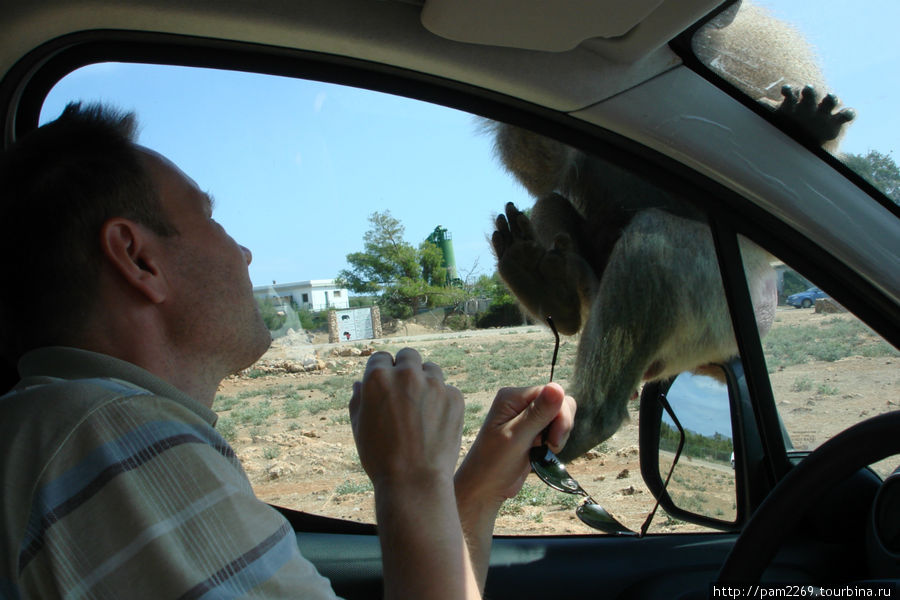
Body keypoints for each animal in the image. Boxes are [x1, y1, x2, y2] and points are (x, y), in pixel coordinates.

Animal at [488, 0, 856, 462]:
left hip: (723, 318)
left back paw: (588, 419)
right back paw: (549, 289)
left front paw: (807, 124)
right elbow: (543, 176)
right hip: (608, 291)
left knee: (655, 243)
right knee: (554, 208)